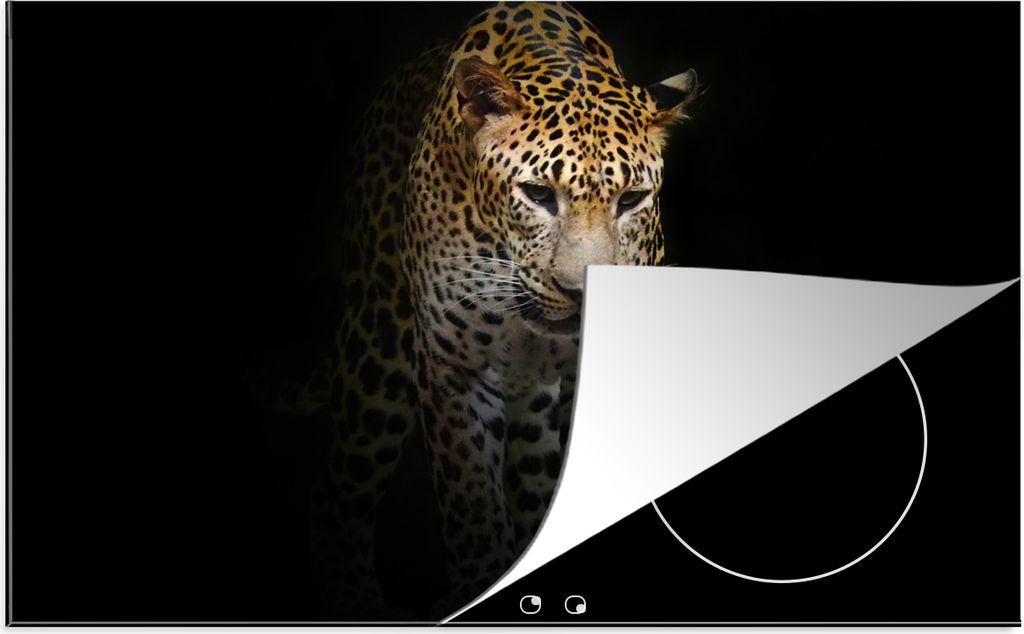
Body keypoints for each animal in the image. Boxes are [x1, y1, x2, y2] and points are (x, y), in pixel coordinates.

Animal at [270, 1, 697, 620]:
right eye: (538, 195)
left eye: (631, 200)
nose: (580, 292)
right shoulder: (454, 369)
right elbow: (472, 510)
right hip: (377, 354)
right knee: (334, 498)